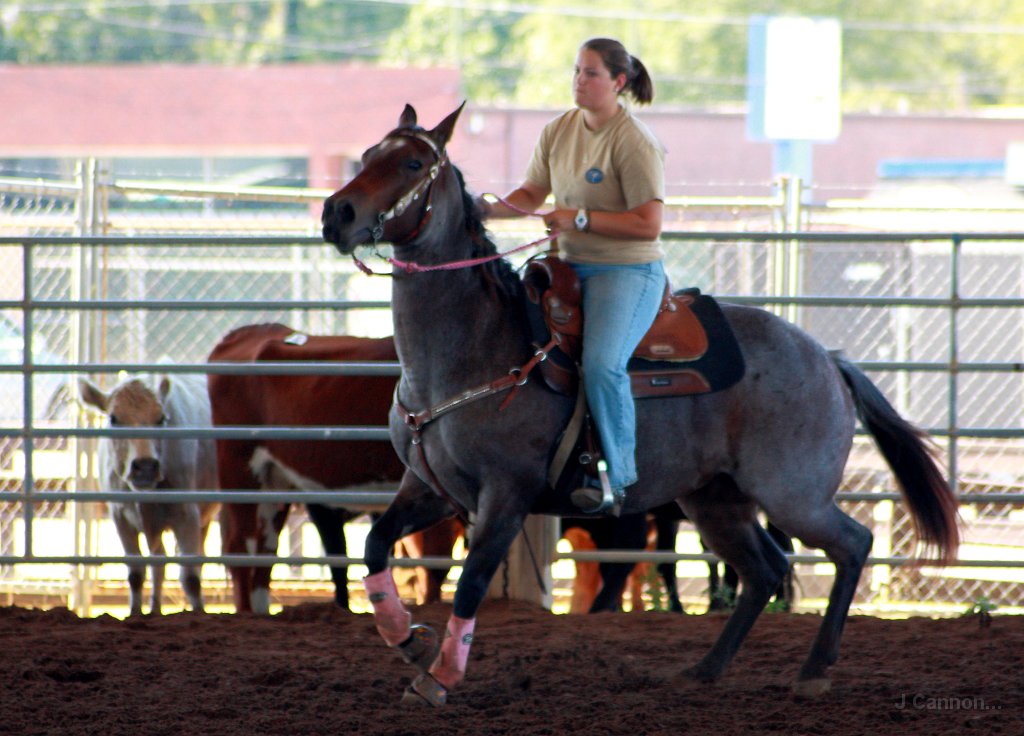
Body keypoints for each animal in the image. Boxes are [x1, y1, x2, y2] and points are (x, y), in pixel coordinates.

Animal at [79, 373, 218, 616]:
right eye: (113, 418)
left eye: (161, 418)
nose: (145, 467)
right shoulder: (120, 517)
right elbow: (136, 571)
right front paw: (135, 612)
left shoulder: (187, 514)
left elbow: (190, 577)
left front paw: (199, 612)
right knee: (158, 561)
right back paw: (154, 609)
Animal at [320, 103, 960, 706]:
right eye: (368, 154)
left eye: (411, 164)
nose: (336, 214)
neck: (471, 347)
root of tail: (826, 356)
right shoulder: (429, 487)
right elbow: (375, 548)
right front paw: (407, 637)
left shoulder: (507, 493)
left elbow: (473, 581)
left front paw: (439, 676)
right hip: (716, 499)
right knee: (764, 570)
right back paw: (704, 669)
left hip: (793, 494)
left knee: (851, 546)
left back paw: (815, 671)